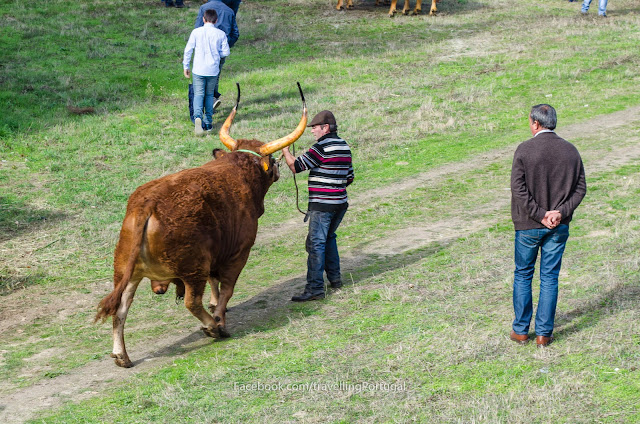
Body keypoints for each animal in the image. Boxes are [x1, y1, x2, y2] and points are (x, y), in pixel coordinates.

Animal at [95, 83, 308, 368]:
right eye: (273, 160)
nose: (277, 171)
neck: (238, 169)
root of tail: (147, 203)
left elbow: (215, 285)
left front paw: (216, 306)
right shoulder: (238, 253)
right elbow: (226, 288)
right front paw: (220, 317)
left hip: (126, 272)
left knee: (120, 308)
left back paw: (122, 355)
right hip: (191, 269)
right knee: (190, 302)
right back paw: (213, 327)